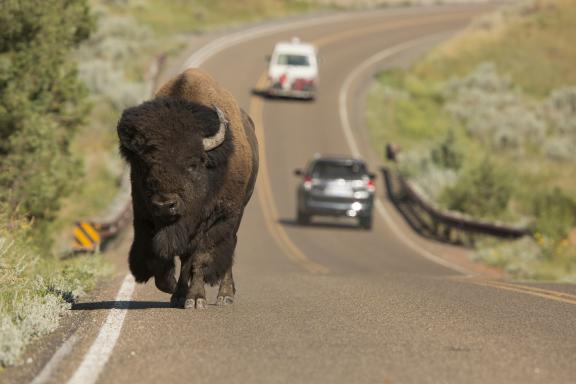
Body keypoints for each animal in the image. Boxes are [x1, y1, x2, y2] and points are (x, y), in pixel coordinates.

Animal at [117, 68, 258, 308]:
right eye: (144, 164)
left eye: (192, 164)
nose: (166, 204)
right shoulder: (147, 216)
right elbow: (166, 256)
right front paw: (174, 289)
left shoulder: (219, 219)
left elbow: (201, 256)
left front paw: (196, 299)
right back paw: (179, 295)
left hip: (237, 214)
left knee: (229, 246)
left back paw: (225, 295)